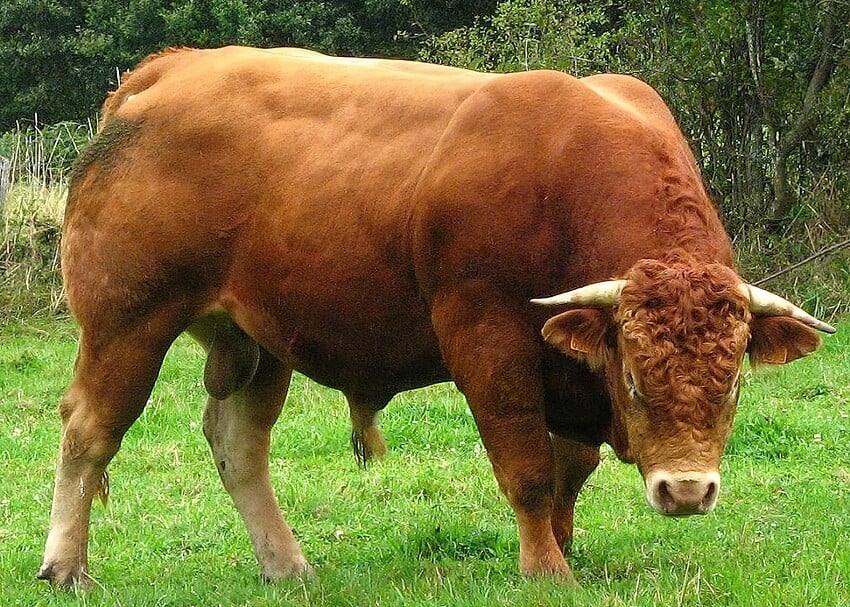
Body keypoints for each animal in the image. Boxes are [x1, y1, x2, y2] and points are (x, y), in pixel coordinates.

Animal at [38, 46, 834, 588]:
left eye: (734, 383)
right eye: (637, 379)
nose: (688, 491)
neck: (567, 180)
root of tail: (170, 71)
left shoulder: (569, 365)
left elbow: (570, 468)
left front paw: (565, 545)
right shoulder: (489, 341)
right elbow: (529, 468)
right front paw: (546, 568)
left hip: (258, 340)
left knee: (238, 445)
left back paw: (287, 565)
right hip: (127, 323)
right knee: (88, 432)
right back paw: (65, 564)